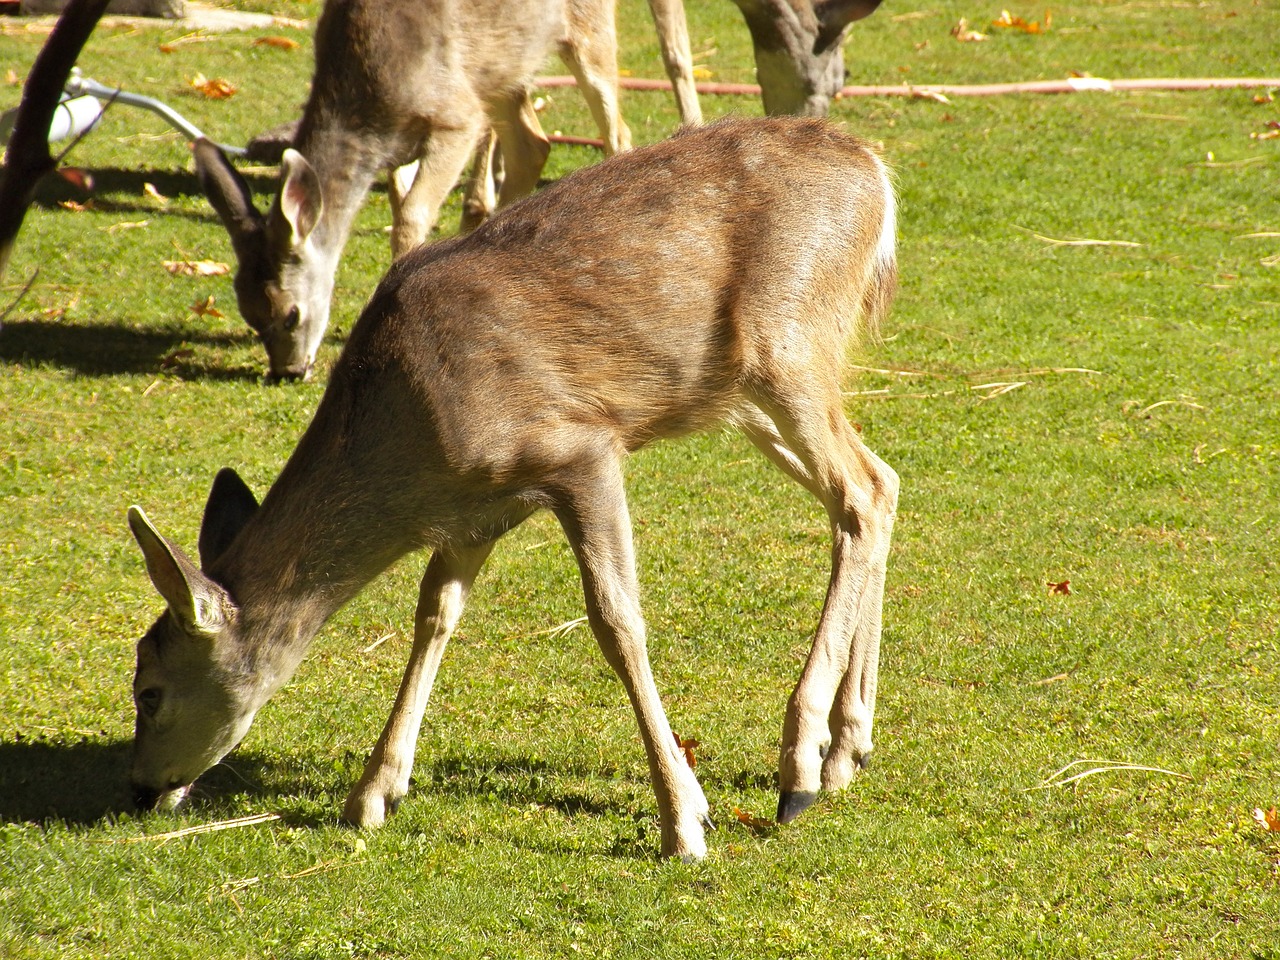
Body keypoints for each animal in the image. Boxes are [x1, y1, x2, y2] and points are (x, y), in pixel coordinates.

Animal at [124, 116, 896, 860]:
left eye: (149, 690)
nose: (140, 790)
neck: (414, 441)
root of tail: (878, 178)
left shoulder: (580, 449)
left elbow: (617, 622)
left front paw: (685, 821)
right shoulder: (478, 509)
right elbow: (434, 614)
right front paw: (373, 793)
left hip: (789, 346)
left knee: (858, 493)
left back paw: (799, 768)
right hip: (742, 396)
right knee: (878, 483)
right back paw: (846, 749)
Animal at [195, 0, 706, 384]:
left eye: (290, 313)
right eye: (246, 312)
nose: (288, 371)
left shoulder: (456, 116)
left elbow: (412, 215)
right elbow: (399, 200)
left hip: (582, 31)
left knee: (617, 128)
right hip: (501, 67)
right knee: (533, 144)